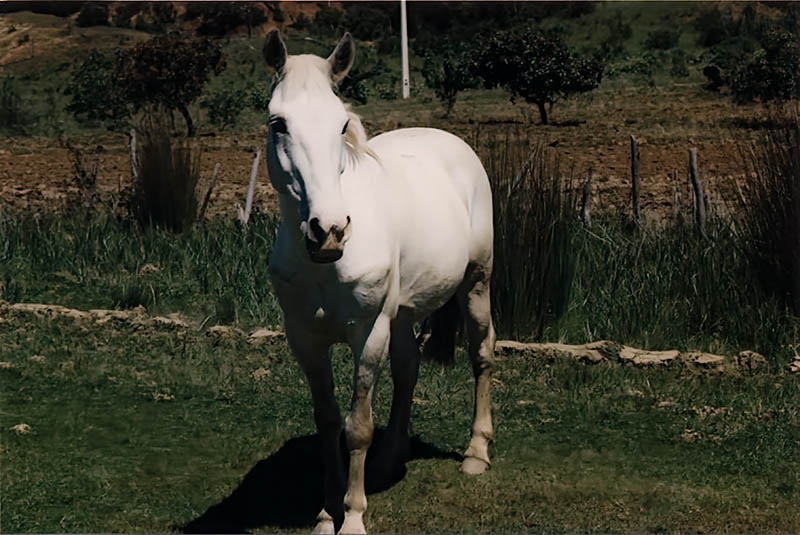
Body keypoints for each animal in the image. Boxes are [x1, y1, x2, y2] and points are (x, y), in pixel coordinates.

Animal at [266, 31, 496, 532]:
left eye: (341, 125)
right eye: (278, 123)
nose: (329, 231)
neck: (326, 264)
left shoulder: (368, 333)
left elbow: (358, 426)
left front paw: (352, 515)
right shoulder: (304, 338)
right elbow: (329, 421)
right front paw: (325, 513)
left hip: (477, 283)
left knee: (482, 354)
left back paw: (476, 452)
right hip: (404, 313)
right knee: (408, 370)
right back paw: (392, 459)